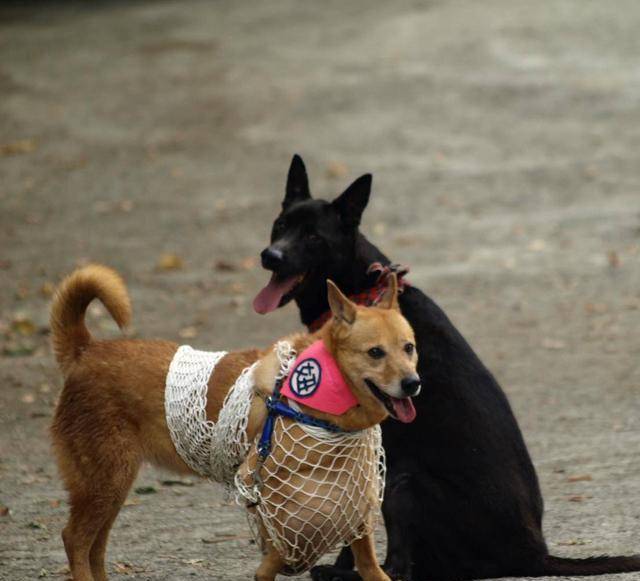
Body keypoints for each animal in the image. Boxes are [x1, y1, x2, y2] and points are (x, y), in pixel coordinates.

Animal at [50, 266, 420, 576]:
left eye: (409, 348)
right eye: (375, 352)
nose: (412, 383)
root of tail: (86, 350)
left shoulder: (351, 503)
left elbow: (370, 565)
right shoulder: (267, 501)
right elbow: (274, 558)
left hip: (111, 488)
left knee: (95, 547)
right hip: (106, 482)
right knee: (75, 540)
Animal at [254, 154, 640, 580]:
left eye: (312, 237)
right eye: (281, 225)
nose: (271, 256)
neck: (362, 292)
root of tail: (535, 553)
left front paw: (344, 563)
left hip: (406, 481)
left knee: (402, 567)